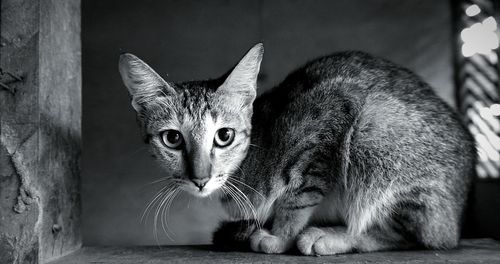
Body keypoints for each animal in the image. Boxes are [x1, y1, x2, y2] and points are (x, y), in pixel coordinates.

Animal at [118, 43, 476, 256]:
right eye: (172, 139)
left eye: (224, 136)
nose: (200, 178)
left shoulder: (329, 120)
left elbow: (299, 197)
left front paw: (280, 235)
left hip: (374, 131)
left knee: (410, 233)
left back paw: (332, 236)